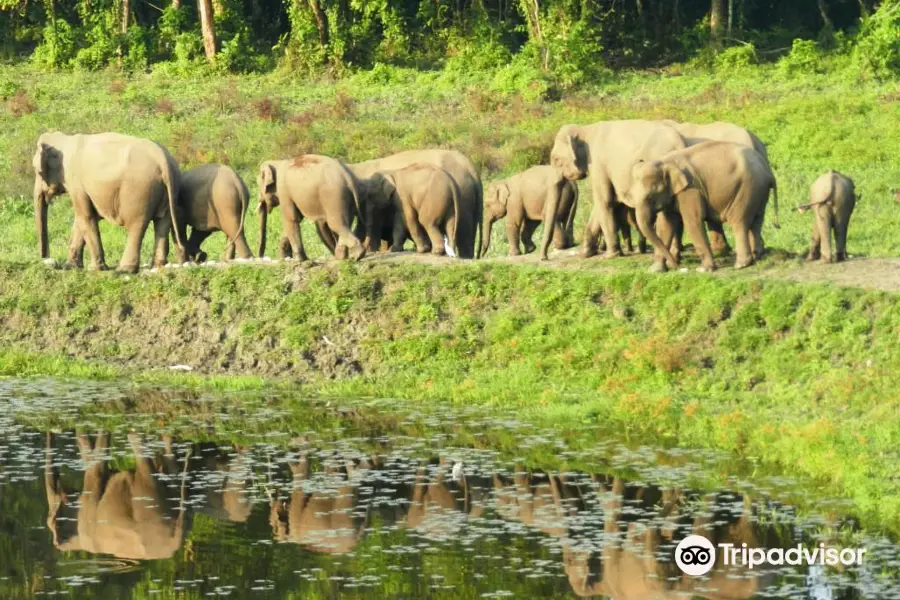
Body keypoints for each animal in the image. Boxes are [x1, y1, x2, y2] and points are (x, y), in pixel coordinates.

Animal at [32, 132, 185, 274]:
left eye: (37, 172)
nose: (46, 259)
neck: (65, 139)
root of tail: (163, 158)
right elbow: (84, 217)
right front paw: (70, 267)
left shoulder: (75, 181)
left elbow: (86, 216)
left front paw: (96, 269)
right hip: (169, 189)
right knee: (163, 221)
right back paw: (158, 266)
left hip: (139, 191)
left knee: (136, 225)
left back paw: (124, 269)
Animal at [544, 118, 684, 266]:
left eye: (556, 159)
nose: (545, 258)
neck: (585, 129)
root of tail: (679, 143)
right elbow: (601, 204)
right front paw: (585, 254)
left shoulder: (597, 163)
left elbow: (604, 201)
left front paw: (610, 256)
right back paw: (675, 257)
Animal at [624, 141, 780, 272]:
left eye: (650, 196)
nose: (676, 265)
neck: (664, 162)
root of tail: (768, 171)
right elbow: (666, 226)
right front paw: (655, 270)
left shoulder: (690, 190)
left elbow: (692, 222)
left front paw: (704, 269)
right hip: (759, 192)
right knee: (757, 221)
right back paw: (758, 257)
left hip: (747, 189)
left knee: (739, 222)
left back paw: (741, 264)